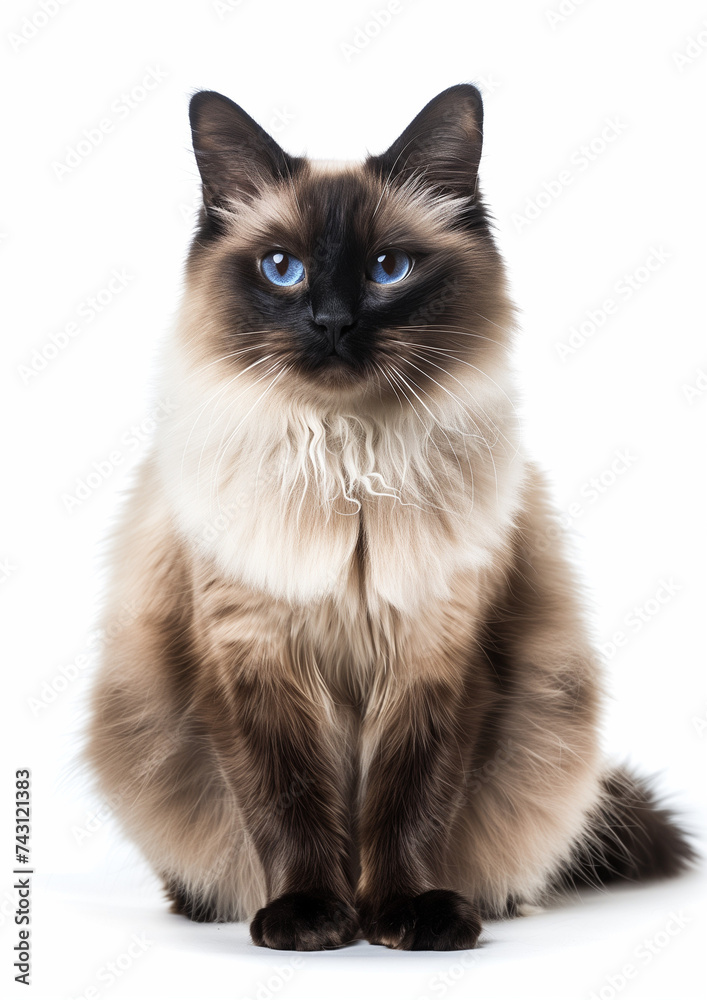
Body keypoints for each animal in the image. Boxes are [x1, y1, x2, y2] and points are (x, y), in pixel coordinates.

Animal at [85, 82, 696, 948]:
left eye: (388, 270)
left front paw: (409, 917)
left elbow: (409, 807)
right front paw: (309, 919)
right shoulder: (251, 661)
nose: (333, 322)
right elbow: (287, 807)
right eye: (283, 270)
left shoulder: (435, 660)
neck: (348, 467)